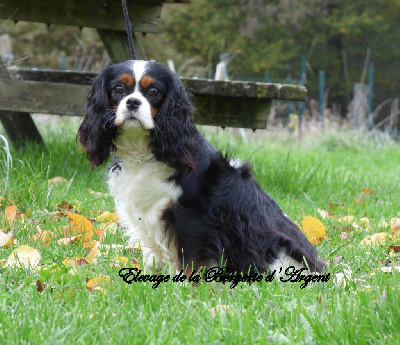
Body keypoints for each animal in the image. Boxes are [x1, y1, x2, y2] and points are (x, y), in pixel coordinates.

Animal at [78, 59, 324, 274]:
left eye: (154, 92)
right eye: (119, 89)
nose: (132, 102)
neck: (142, 152)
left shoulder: (190, 218)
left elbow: (189, 260)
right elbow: (152, 255)